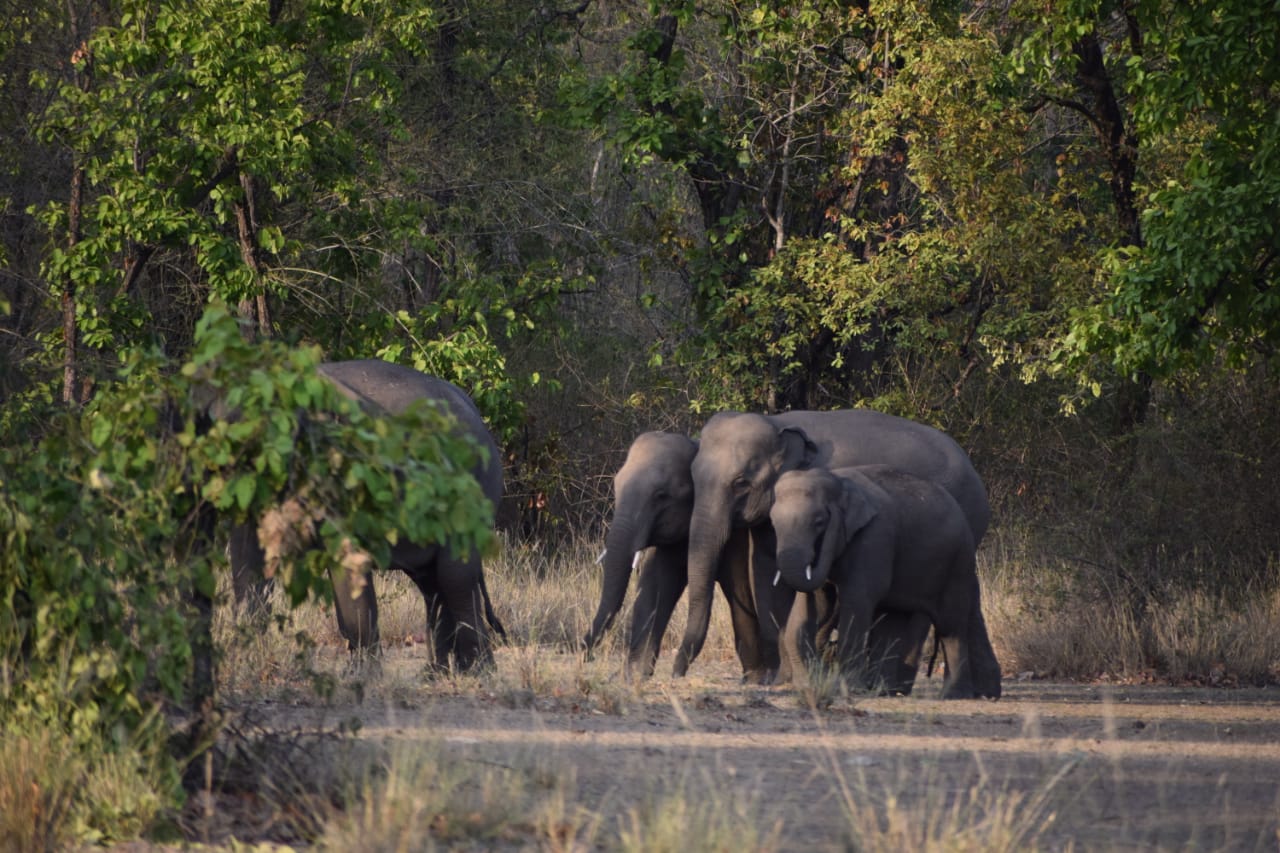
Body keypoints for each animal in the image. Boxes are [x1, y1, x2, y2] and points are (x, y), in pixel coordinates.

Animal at [230, 360, 505, 672]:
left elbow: (350, 561)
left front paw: (360, 675)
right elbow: (249, 558)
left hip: (474, 490)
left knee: (455, 578)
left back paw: (478, 672)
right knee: (433, 584)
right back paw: (438, 674)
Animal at [769, 464, 1001, 699]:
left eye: (819, 522)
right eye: (773, 523)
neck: (839, 482)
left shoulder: (875, 537)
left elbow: (857, 599)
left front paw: (850, 689)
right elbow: (819, 601)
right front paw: (805, 687)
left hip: (957, 562)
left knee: (950, 625)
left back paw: (952, 695)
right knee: (896, 619)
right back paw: (885, 690)